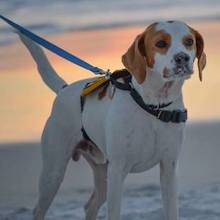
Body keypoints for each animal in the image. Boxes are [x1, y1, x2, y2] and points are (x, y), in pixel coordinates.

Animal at [17, 19, 206, 219]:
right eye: (161, 43)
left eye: (189, 41)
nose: (182, 58)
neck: (152, 106)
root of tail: (64, 89)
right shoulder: (118, 170)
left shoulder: (169, 169)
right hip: (54, 172)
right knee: (39, 208)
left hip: (102, 174)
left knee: (90, 206)